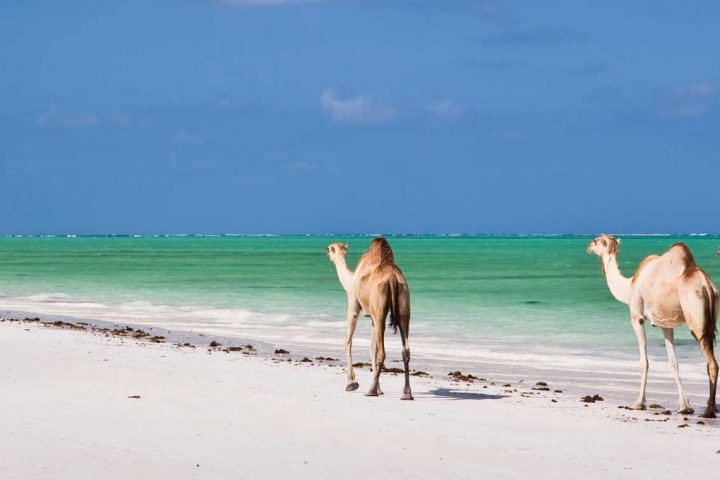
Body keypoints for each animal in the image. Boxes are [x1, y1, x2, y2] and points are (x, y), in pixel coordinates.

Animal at [328, 238, 414, 400]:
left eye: (329, 249)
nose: (327, 254)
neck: (351, 279)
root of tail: (392, 277)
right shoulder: (372, 318)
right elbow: (372, 347)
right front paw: (379, 388)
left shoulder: (354, 304)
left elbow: (348, 340)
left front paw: (352, 383)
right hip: (404, 303)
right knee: (405, 349)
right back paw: (407, 393)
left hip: (380, 307)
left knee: (382, 352)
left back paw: (371, 391)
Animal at [588, 235, 716, 416]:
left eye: (596, 240)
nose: (588, 247)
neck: (629, 286)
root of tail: (706, 285)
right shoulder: (666, 324)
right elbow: (673, 363)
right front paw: (685, 406)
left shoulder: (637, 317)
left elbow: (644, 363)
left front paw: (638, 403)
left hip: (696, 319)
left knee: (711, 362)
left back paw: (709, 409)